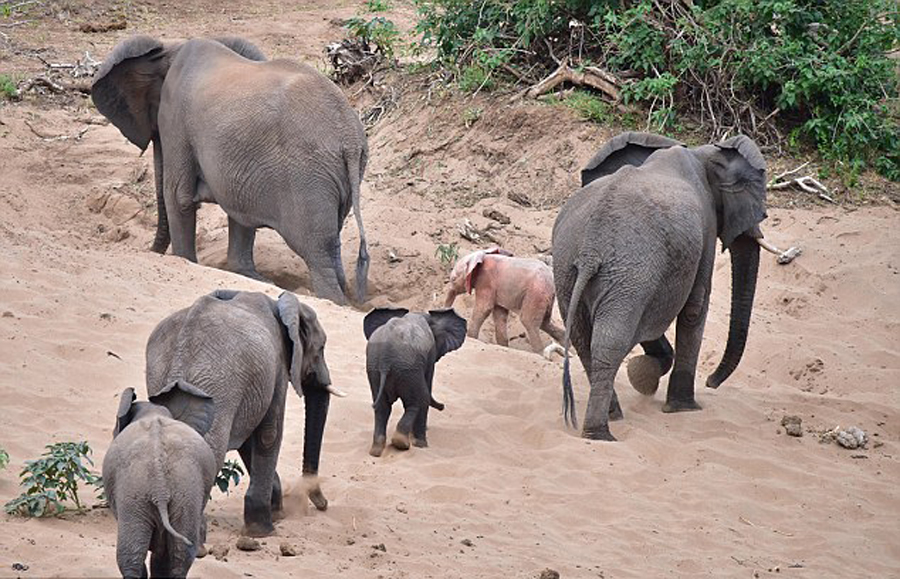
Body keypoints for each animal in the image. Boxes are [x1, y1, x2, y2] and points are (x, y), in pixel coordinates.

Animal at [91, 36, 370, 306]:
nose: (151, 251)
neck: (171, 48)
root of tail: (349, 137)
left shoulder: (174, 117)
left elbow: (178, 197)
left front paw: (184, 260)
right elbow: (239, 206)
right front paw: (245, 273)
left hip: (308, 177)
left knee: (317, 251)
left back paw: (332, 299)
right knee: (331, 246)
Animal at [103, 382, 217, 576]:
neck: (153, 412)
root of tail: (160, 487)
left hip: (134, 494)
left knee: (131, 554)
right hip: (185, 493)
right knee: (180, 554)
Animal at [146, 292, 346, 536]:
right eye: (321, 348)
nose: (323, 505)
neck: (279, 305)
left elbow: (248, 440)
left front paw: (277, 514)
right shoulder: (277, 366)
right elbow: (269, 434)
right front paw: (263, 530)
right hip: (217, 390)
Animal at [362, 308, 468, 458]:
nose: (443, 406)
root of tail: (385, 356)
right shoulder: (430, 354)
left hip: (374, 368)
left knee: (382, 407)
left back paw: (376, 451)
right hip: (409, 367)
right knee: (419, 400)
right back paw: (411, 444)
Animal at [552, 133, 768, 440]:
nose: (711, 382)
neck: (702, 152)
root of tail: (591, 249)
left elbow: (652, 317)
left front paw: (643, 376)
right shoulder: (704, 227)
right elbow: (695, 307)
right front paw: (682, 408)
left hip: (572, 270)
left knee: (585, 340)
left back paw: (612, 416)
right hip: (627, 270)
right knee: (610, 341)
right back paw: (600, 434)